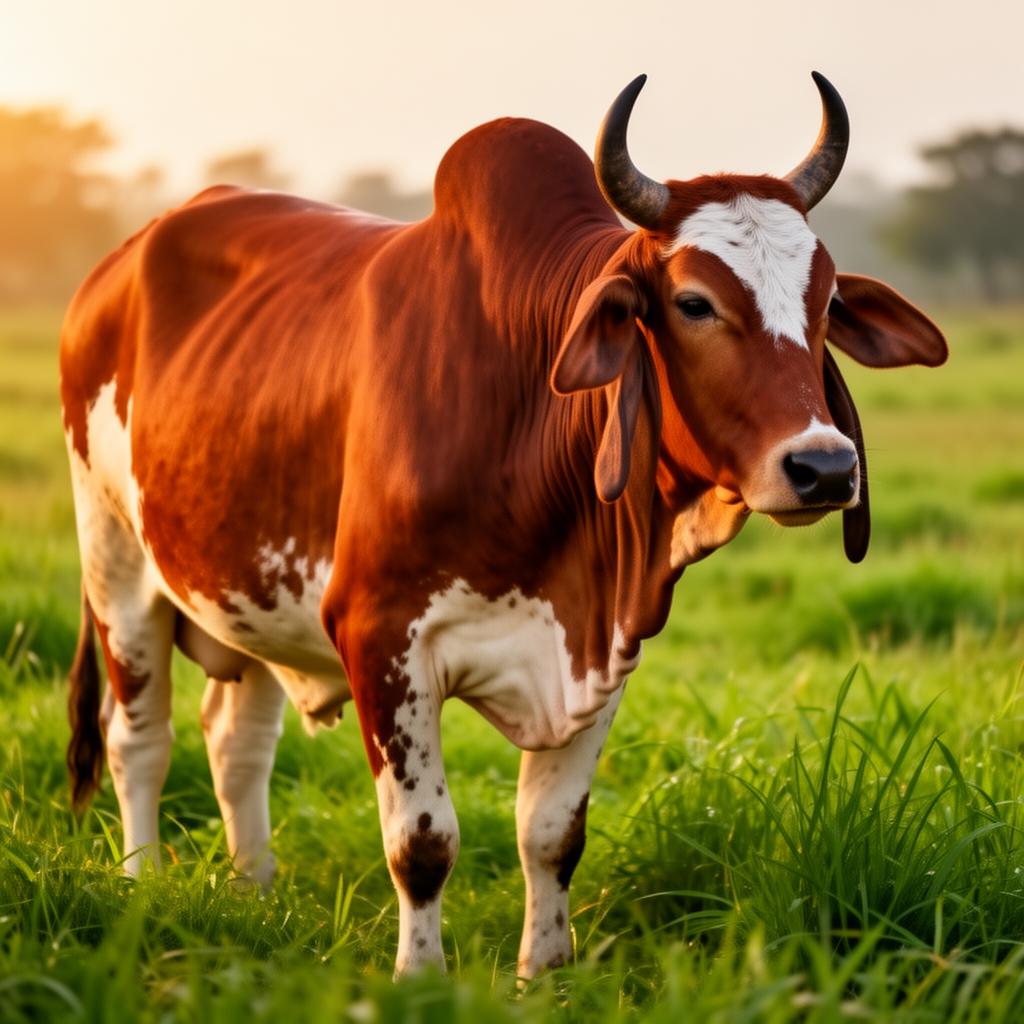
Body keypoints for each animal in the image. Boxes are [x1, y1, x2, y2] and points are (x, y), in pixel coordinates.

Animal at [60, 73, 947, 977]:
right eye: (694, 303)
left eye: (826, 300)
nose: (826, 466)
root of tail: (119, 261)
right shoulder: (381, 637)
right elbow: (422, 843)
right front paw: (420, 978)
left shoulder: (601, 647)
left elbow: (552, 836)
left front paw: (544, 976)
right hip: (117, 567)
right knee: (139, 738)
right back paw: (142, 885)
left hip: (249, 597)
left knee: (235, 741)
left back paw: (256, 894)